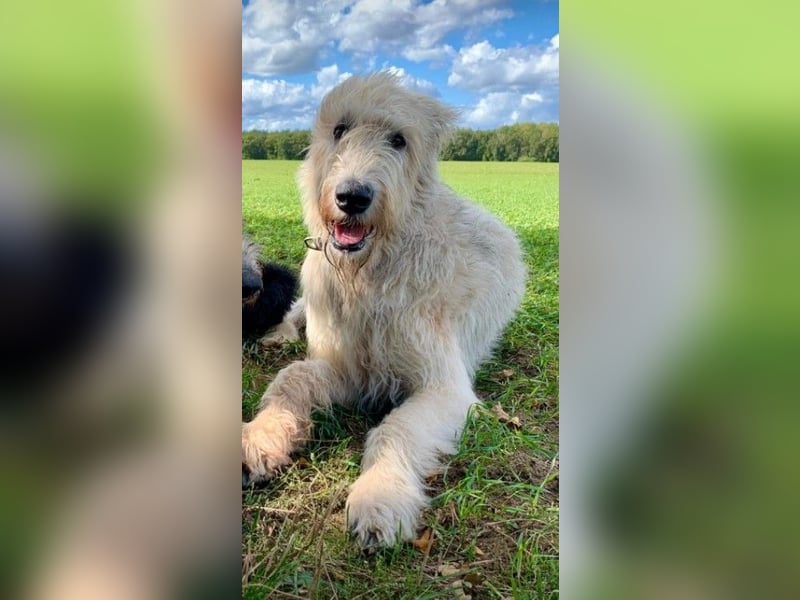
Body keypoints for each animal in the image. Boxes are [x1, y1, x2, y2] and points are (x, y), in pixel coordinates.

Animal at [241, 72, 528, 552]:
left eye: (399, 140)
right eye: (339, 130)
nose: (352, 197)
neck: (369, 275)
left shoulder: (445, 390)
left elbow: (397, 428)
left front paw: (380, 495)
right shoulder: (343, 363)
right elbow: (292, 377)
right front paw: (259, 438)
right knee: (295, 313)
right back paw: (278, 334)